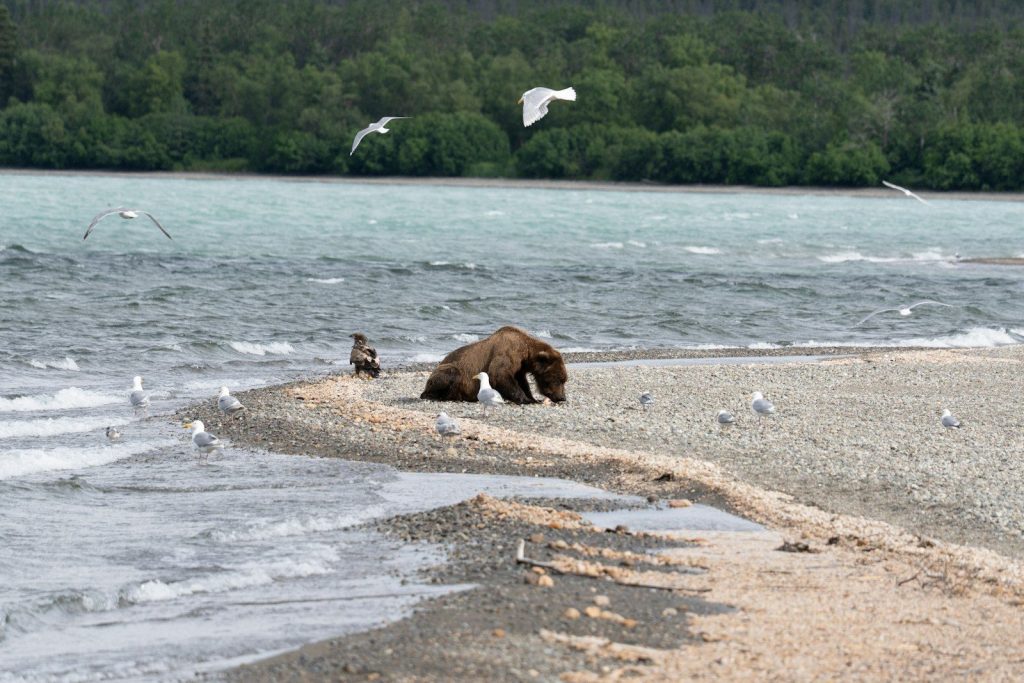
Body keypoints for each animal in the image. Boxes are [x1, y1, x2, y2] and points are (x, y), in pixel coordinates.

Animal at [420, 326, 567, 404]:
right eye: (558, 379)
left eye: (564, 380)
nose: (562, 397)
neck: (525, 353)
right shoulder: (508, 352)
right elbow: (498, 373)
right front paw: (525, 399)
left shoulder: (519, 367)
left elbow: (522, 381)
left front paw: (532, 398)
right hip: (446, 371)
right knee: (451, 373)